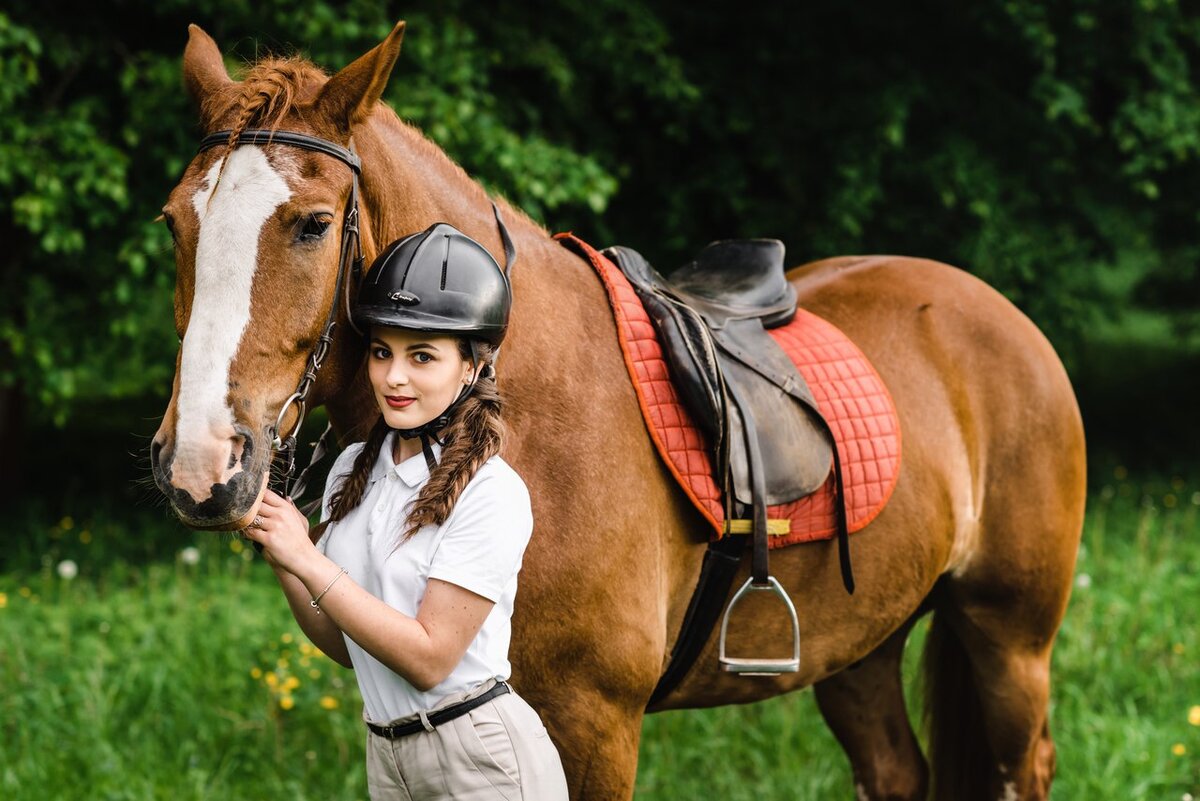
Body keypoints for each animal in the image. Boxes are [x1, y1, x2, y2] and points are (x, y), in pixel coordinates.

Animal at [150, 21, 1089, 796]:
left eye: (312, 224)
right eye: (172, 223)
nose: (200, 464)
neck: (527, 420)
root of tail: (994, 311)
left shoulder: (593, 724)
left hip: (1010, 640)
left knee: (1025, 763)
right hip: (862, 645)